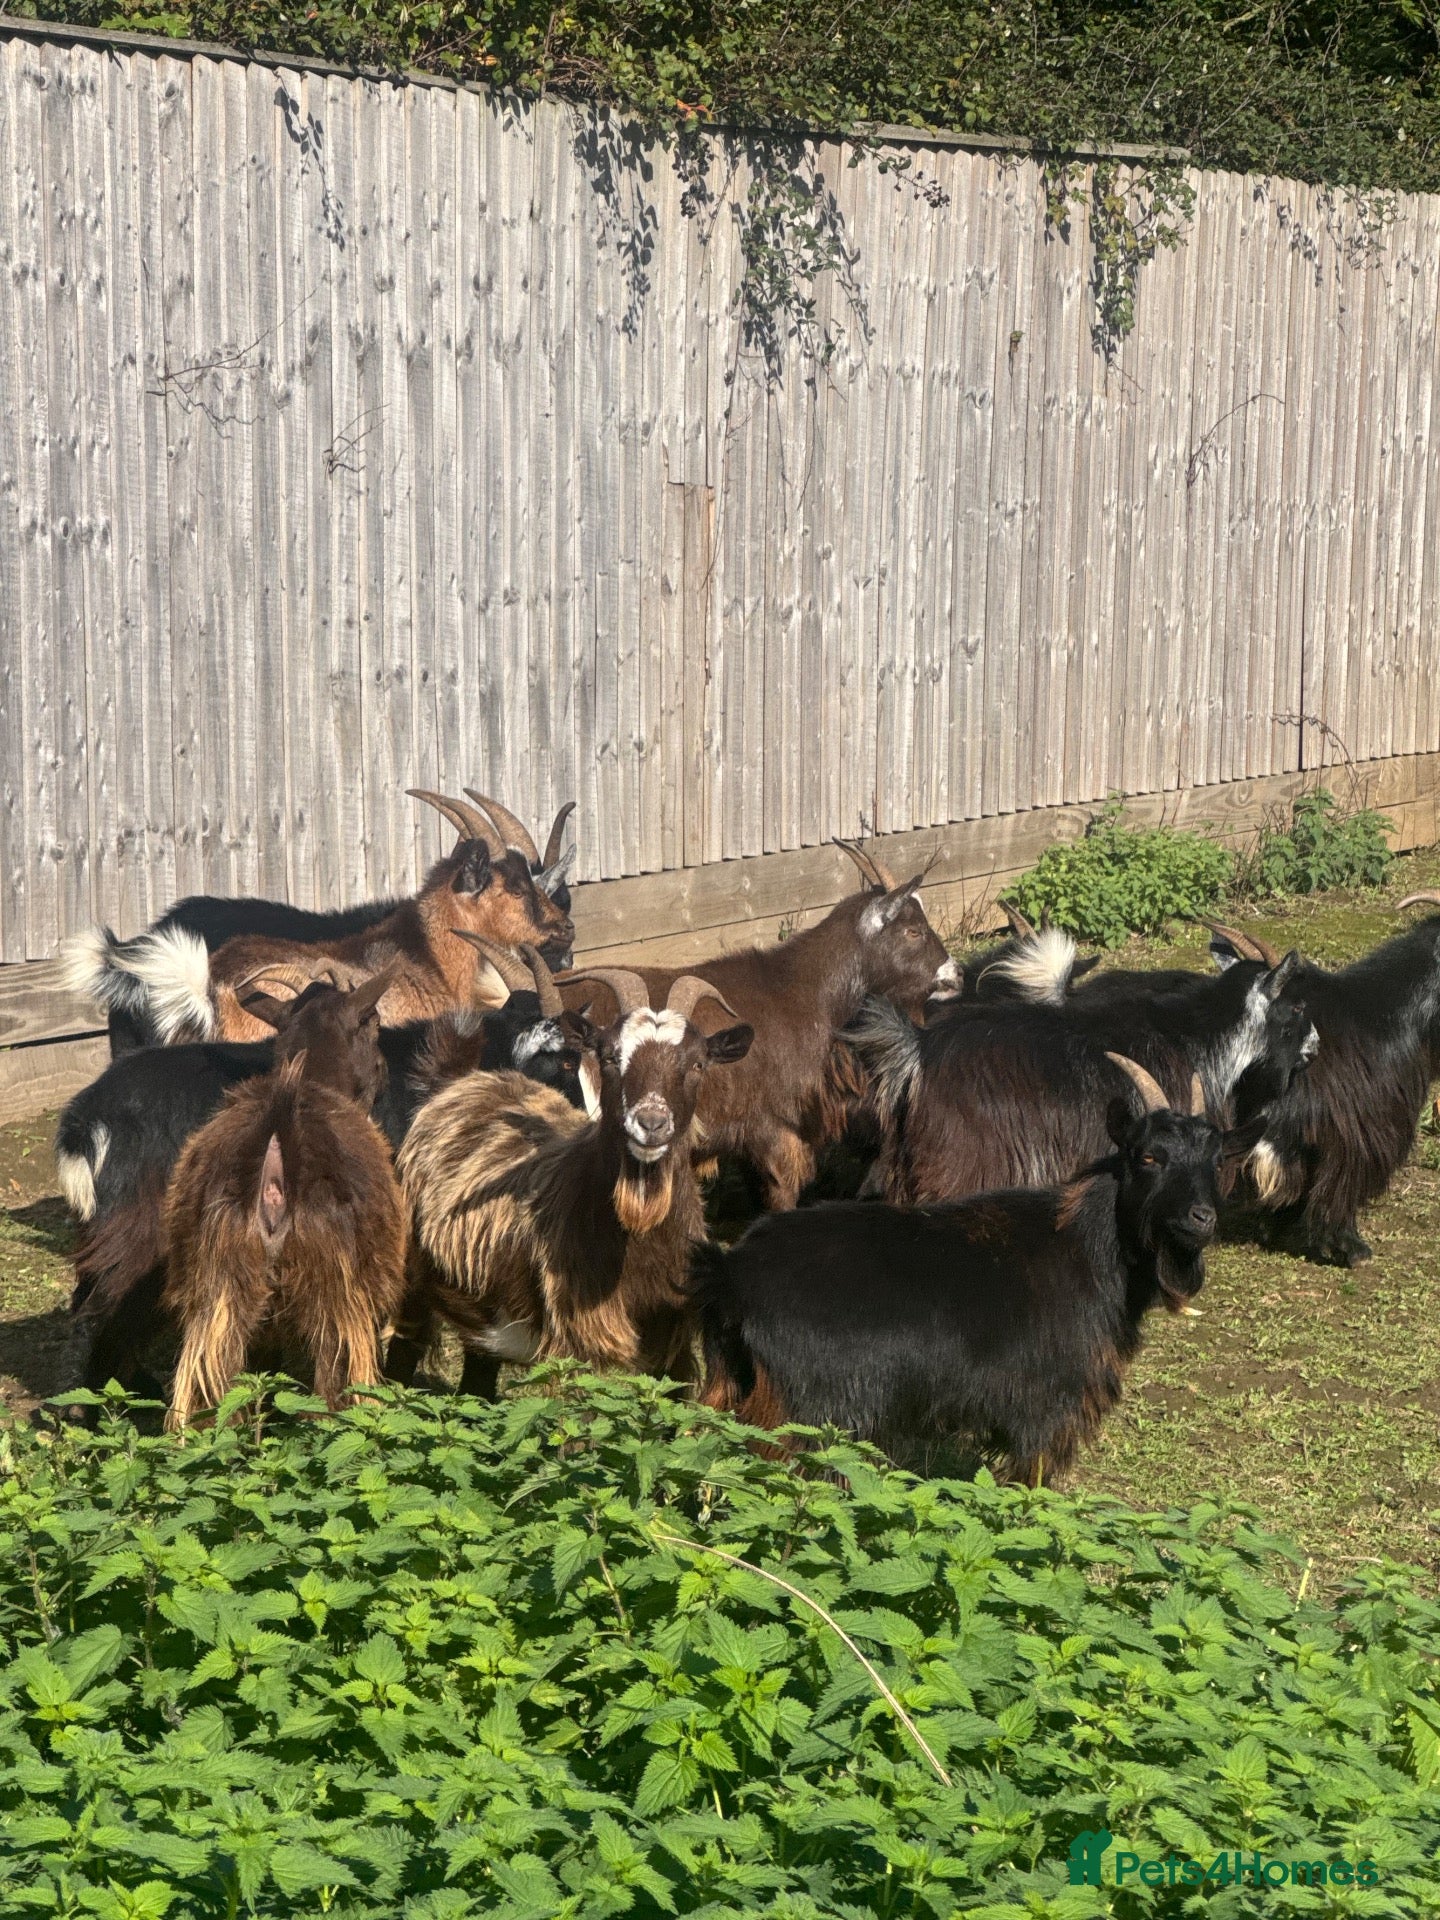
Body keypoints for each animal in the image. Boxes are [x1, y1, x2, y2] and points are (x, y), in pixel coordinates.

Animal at [163, 980, 409, 1427]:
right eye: (375, 1024)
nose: (384, 1073)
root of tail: (280, 1128)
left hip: (220, 1298)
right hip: (334, 1300)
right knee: (331, 1398)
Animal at [394, 969, 753, 1398]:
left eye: (698, 1063)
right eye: (610, 1057)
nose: (650, 1124)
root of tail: (452, 1085)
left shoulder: (673, 1346)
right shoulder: (577, 1351)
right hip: (410, 1281)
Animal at [695, 1056, 1260, 1482]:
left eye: (1216, 1161)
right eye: (1147, 1157)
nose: (1202, 1218)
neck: (1089, 1248)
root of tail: (733, 1273)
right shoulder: (1048, 1412)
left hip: (729, 1388)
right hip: (802, 1417)